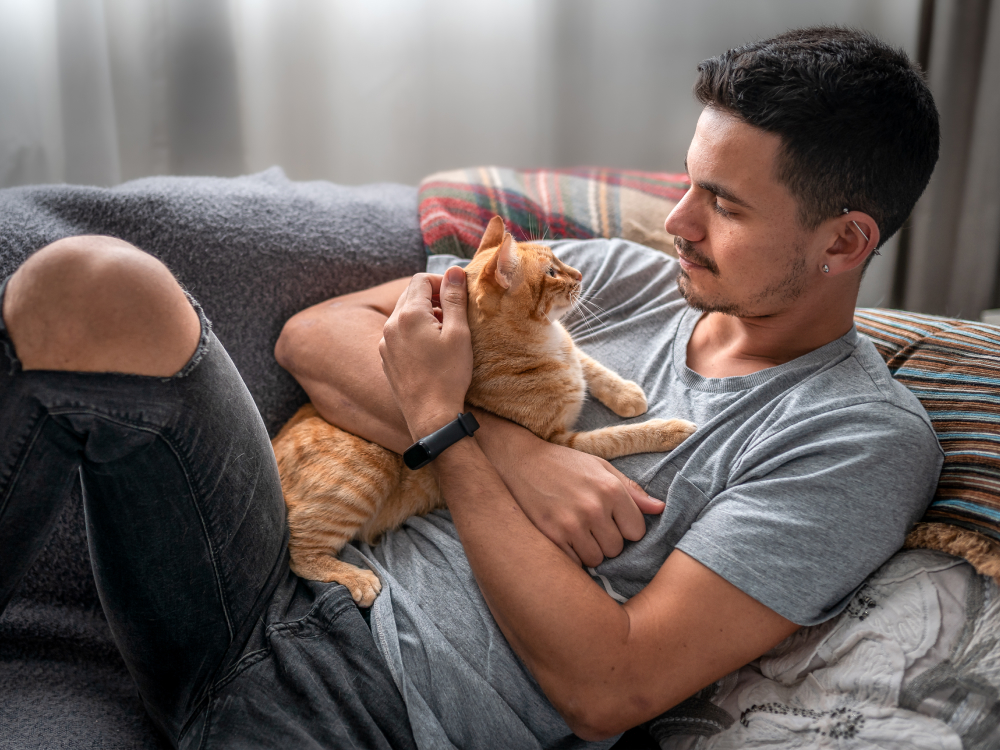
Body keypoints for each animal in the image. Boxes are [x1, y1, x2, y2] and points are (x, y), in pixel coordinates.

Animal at [274, 217, 696, 604]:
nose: (580, 274)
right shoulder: (561, 441)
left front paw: (626, 395)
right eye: (552, 272)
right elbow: (615, 437)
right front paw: (670, 430)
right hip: (361, 479)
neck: (545, 342)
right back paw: (356, 578)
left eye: (559, 259)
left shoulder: (573, 354)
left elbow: (590, 366)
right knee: (300, 552)